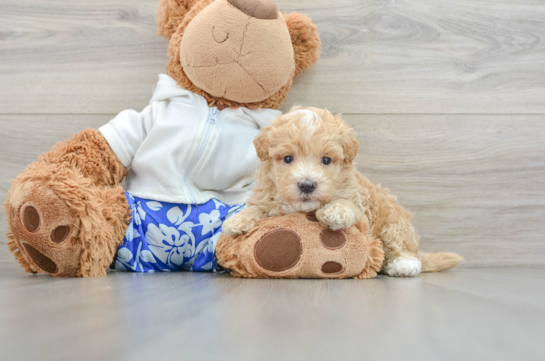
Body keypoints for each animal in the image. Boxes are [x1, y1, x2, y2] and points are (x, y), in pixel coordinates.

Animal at [223, 107, 462, 276]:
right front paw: (237, 221)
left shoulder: (358, 201)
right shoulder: (266, 194)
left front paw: (335, 212)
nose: (307, 185)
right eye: (288, 159)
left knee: (402, 246)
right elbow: (256, 207)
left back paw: (404, 265)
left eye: (326, 160)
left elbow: (346, 203)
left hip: (393, 222)